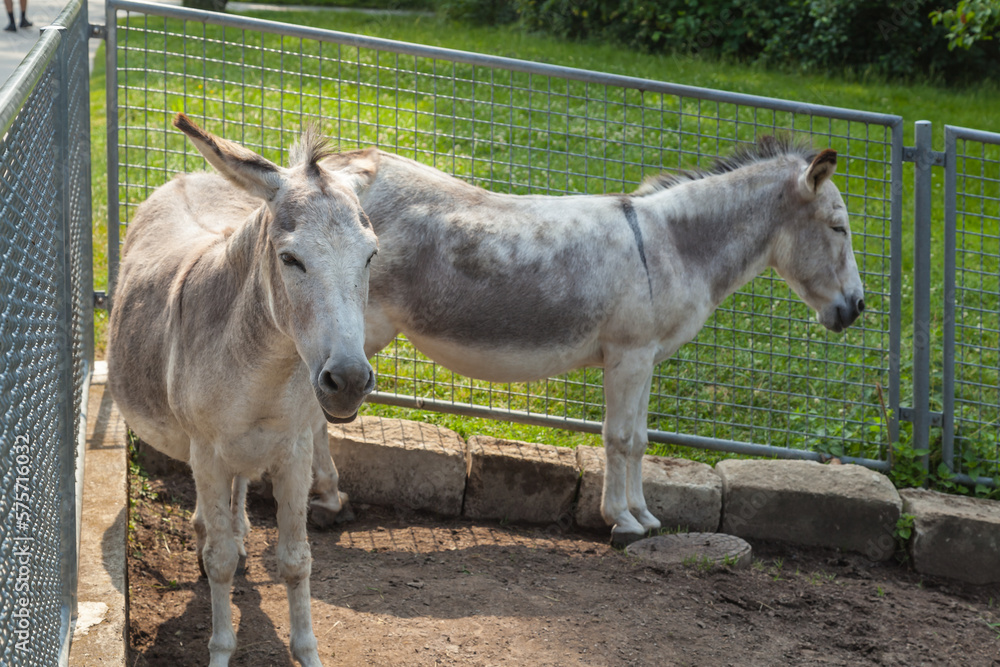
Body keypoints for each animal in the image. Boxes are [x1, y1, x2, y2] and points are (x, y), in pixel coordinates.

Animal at [107, 114, 378, 666]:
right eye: (290, 259)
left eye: (370, 256)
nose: (349, 381)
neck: (265, 373)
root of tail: (190, 176)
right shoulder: (207, 452)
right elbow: (221, 562)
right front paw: (220, 650)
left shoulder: (294, 449)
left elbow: (296, 560)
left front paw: (307, 652)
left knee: (239, 491)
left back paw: (238, 527)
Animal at [305, 135, 864, 544]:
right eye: (839, 227)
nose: (857, 308)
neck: (674, 246)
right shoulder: (628, 355)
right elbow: (618, 438)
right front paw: (622, 521)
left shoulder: (645, 358)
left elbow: (640, 439)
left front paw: (646, 516)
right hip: (355, 334)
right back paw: (328, 501)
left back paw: (327, 500)